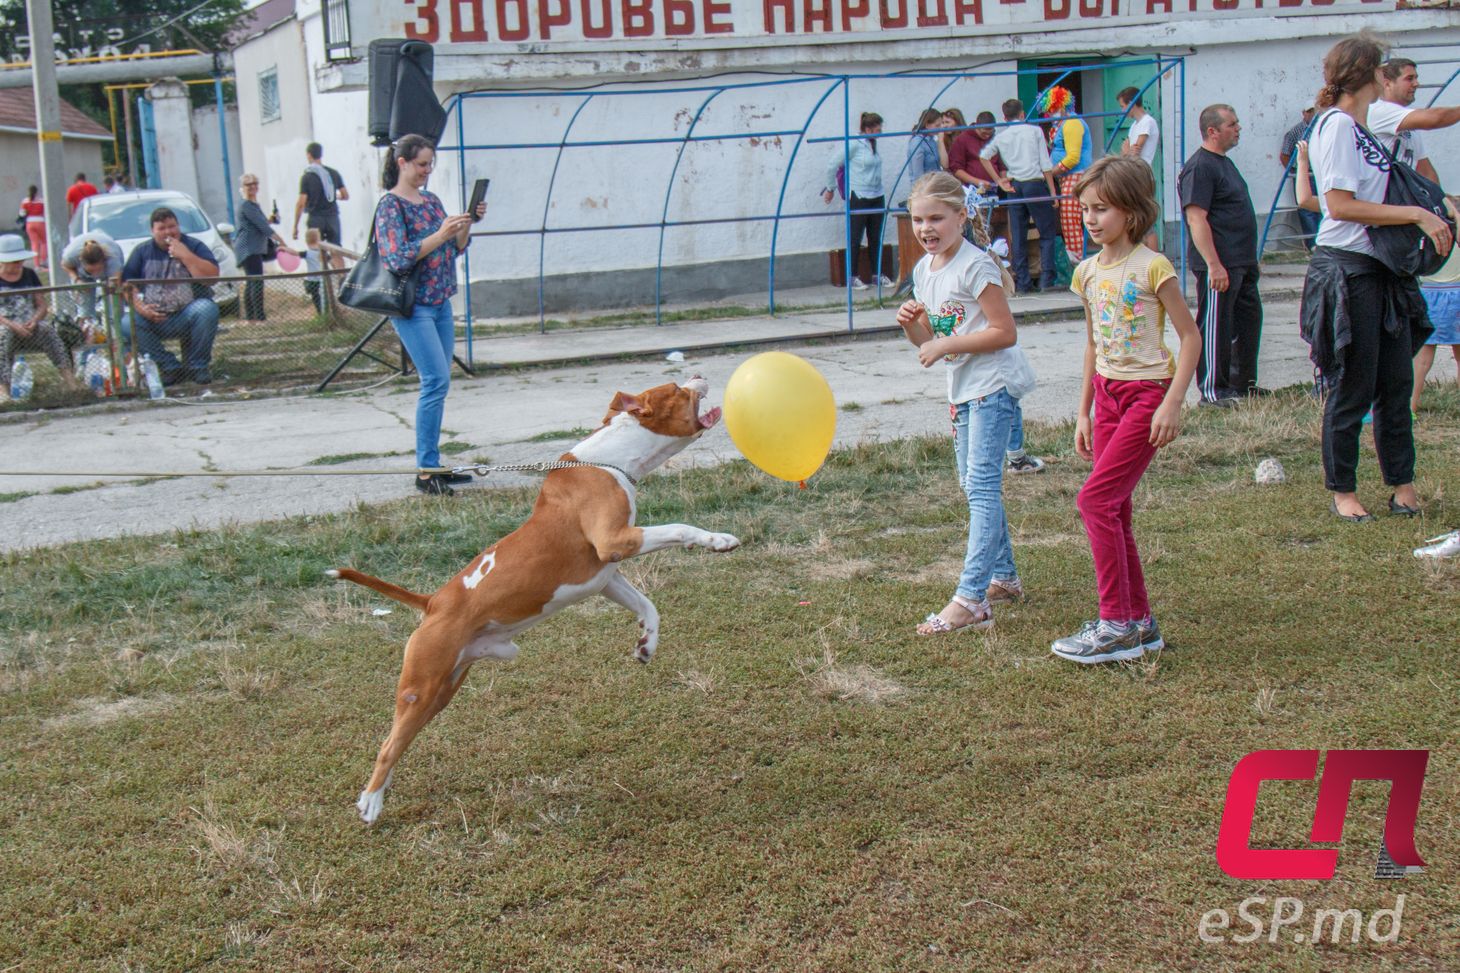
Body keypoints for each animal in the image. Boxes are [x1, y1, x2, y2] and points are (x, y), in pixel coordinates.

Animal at [332, 374, 741, 823]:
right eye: (675, 388)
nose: (698, 375)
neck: (610, 460)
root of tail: (433, 603)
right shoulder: (615, 542)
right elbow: (681, 528)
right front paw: (718, 540)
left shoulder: (605, 576)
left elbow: (648, 605)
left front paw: (646, 643)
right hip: (420, 687)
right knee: (388, 746)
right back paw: (371, 801)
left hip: (443, 690)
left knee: (401, 739)